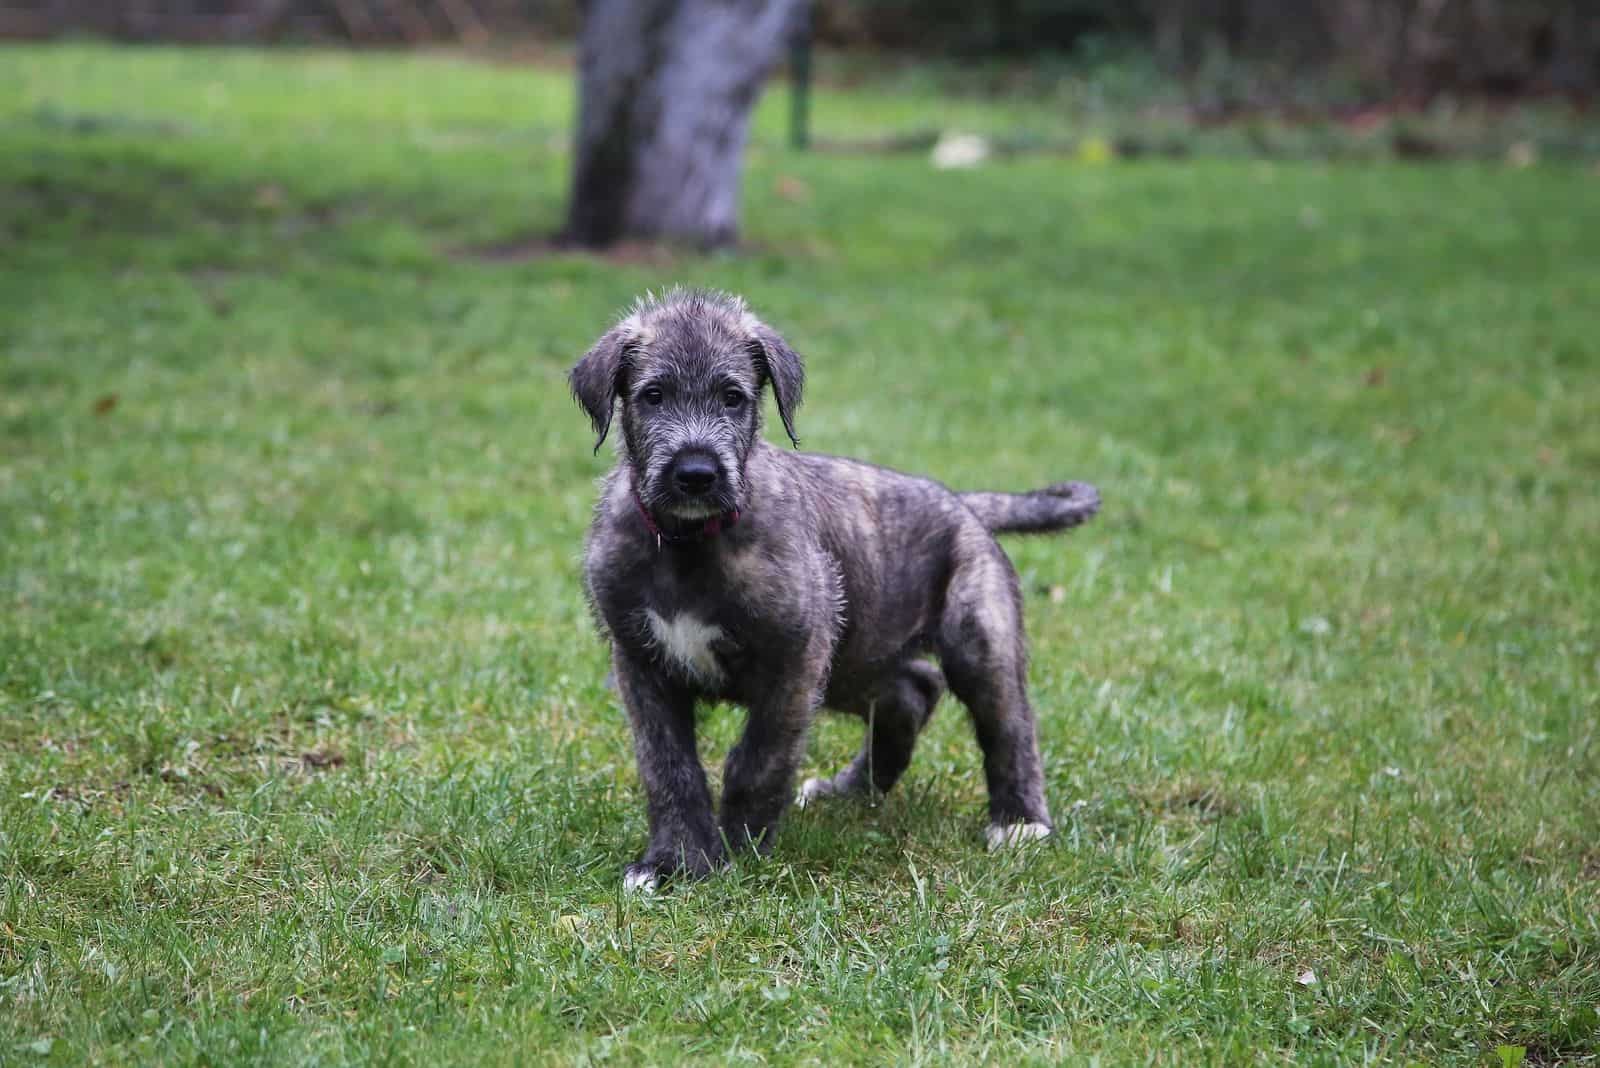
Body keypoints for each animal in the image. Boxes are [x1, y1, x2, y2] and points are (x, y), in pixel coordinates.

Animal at [572, 287, 1100, 888]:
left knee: (1008, 722)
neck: (688, 542)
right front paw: (675, 860)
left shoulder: (794, 658)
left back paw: (1018, 820)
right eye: (653, 396)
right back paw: (853, 790)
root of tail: (964, 504)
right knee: (913, 690)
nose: (696, 474)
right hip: (852, 657)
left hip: (974, 638)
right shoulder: (641, 664)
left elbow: (759, 760)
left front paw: (737, 850)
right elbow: (668, 767)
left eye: (733, 397)